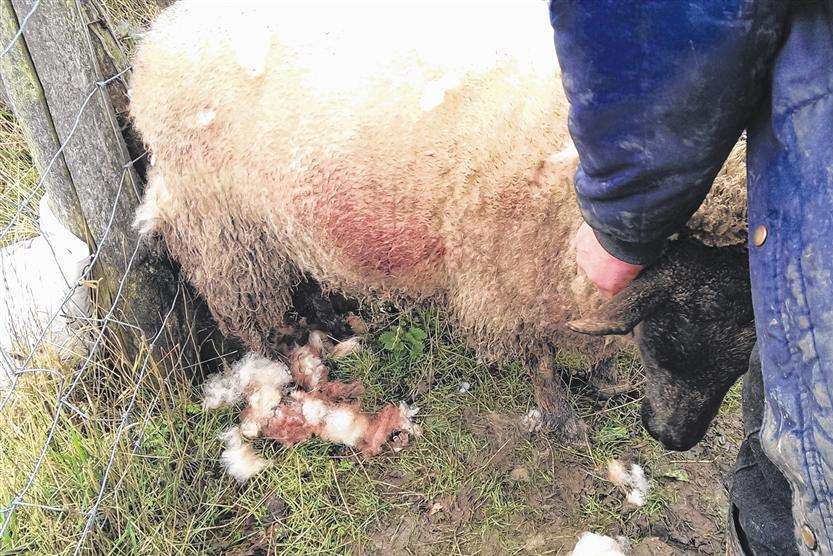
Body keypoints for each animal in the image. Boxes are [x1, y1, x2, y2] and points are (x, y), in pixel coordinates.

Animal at [127, 1, 752, 448]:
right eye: (684, 321)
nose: (672, 438)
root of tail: (159, 37)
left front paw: (604, 378)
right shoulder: (512, 269)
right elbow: (541, 353)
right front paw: (561, 415)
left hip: (284, 219)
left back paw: (334, 321)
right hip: (224, 230)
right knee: (247, 316)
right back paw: (283, 372)